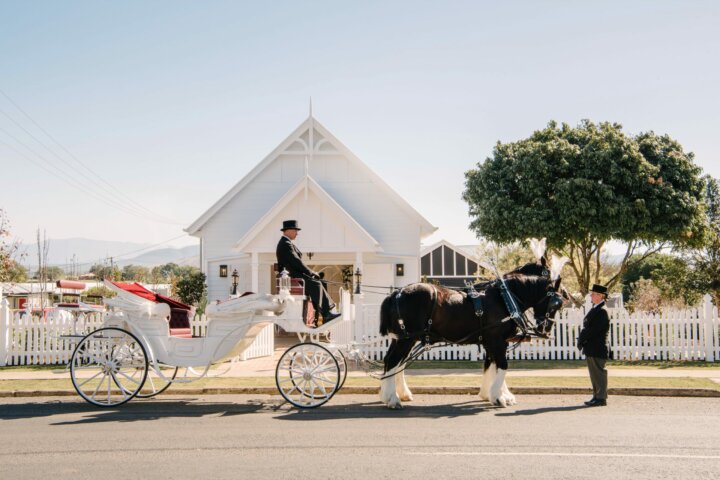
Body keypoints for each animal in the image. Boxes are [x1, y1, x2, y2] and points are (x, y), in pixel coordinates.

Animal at [376, 266, 564, 408]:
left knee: (393, 362)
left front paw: (490, 394)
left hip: (402, 338)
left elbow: (492, 365)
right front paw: (499, 397)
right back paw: (392, 399)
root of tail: (396, 294)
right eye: (556, 303)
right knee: (393, 361)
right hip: (406, 339)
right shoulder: (496, 340)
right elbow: (502, 365)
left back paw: (395, 394)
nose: (545, 329)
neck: (505, 298)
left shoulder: (492, 341)